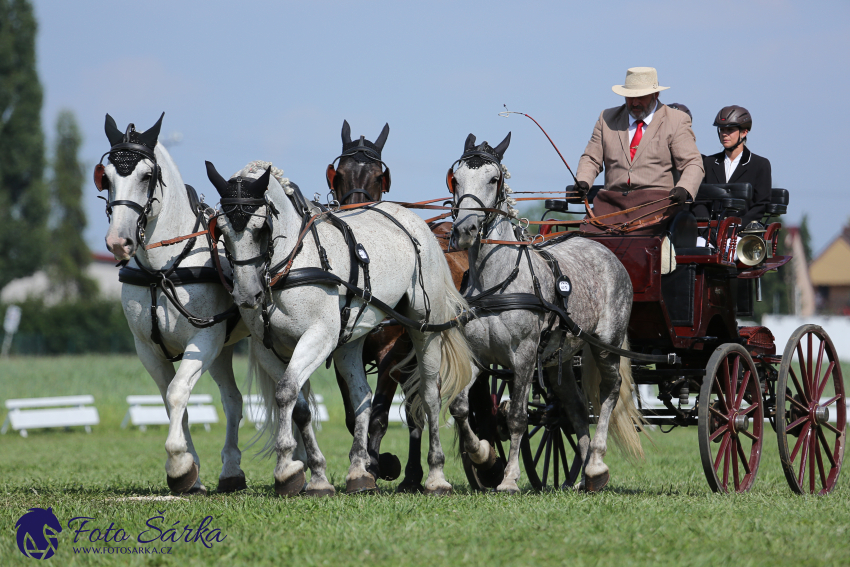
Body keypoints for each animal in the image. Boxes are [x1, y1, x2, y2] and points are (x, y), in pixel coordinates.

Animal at [99, 113, 306, 494]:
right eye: (105, 176)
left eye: (147, 176)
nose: (118, 241)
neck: (162, 270)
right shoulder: (147, 348)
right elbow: (170, 402)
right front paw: (190, 469)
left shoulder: (203, 341)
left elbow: (178, 392)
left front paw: (179, 465)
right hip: (225, 350)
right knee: (235, 400)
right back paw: (234, 471)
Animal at [203, 161, 474, 496]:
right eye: (220, 229)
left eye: (261, 228)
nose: (246, 295)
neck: (291, 262)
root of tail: (415, 221)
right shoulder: (271, 349)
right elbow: (298, 405)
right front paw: (315, 475)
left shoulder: (319, 337)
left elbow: (285, 392)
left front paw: (285, 467)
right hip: (351, 339)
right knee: (362, 397)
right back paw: (359, 471)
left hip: (424, 328)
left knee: (428, 395)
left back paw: (436, 474)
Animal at [324, 121, 468, 492]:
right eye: (339, 174)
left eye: (379, 176)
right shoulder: (345, 351)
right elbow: (354, 413)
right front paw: (370, 462)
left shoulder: (391, 355)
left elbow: (377, 416)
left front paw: (379, 463)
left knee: (417, 412)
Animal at [448, 133, 640, 492]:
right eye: (456, 178)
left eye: (493, 179)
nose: (464, 230)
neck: (498, 280)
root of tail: (604, 249)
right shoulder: (477, 356)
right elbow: (459, 406)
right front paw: (484, 456)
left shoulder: (523, 356)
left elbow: (517, 417)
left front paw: (509, 478)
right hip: (557, 359)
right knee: (574, 407)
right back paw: (582, 476)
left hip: (606, 344)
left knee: (609, 390)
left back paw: (596, 464)